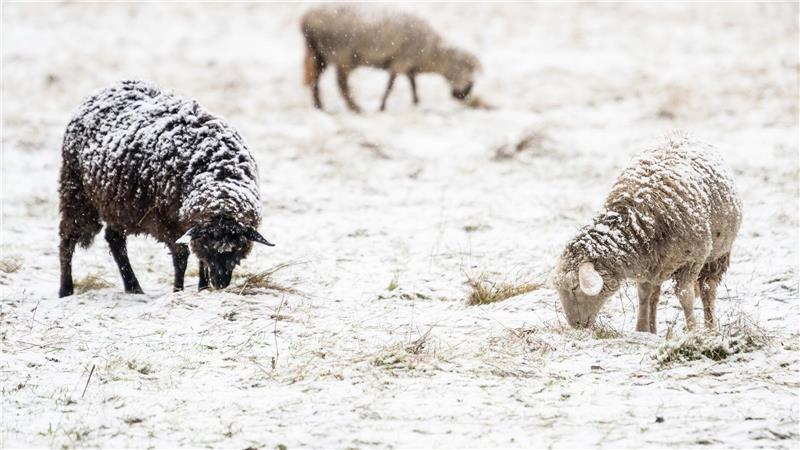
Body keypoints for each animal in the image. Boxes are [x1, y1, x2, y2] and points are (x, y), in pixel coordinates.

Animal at [58, 80, 274, 297]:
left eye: (238, 247)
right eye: (209, 244)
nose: (220, 283)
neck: (218, 173)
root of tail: (104, 89)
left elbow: (198, 260)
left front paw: (202, 287)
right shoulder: (169, 222)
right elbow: (181, 257)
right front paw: (178, 290)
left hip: (117, 204)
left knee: (114, 239)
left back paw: (133, 287)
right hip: (76, 191)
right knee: (68, 239)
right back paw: (66, 290)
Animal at [300, 4, 481, 112]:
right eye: (466, 70)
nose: (465, 95)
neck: (431, 54)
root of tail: (307, 19)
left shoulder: (407, 63)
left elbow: (412, 83)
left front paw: (416, 101)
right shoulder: (401, 61)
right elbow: (391, 86)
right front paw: (382, 107)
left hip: (321, 55)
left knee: (316, 80)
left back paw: (319, 106)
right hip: (341, 55)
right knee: (341, 85)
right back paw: (355, 108)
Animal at [550, 132, 742, 333]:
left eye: (574, 287)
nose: (575, 325)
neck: (637, 218)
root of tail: (681, 134)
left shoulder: (692, 260)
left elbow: (685, 296)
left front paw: (692, 331)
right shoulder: (646, 263)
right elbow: (643, 295)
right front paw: (642, 329)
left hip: (717, 256)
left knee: (707, 290)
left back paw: (710, 327)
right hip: (660, 264)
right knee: (655, 294)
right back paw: (653, 327)